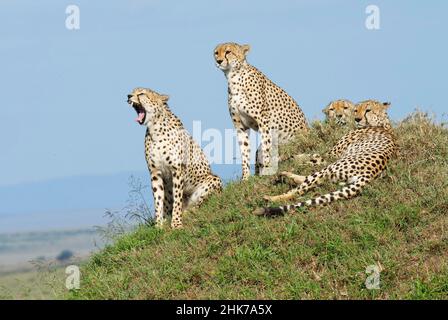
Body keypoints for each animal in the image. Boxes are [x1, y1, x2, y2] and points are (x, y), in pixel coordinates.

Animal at [127, 87, 221, 228]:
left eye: (142, 93)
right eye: (132, 91)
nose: (128, 96)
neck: (155, 128)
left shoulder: (177, 171)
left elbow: (177, 198)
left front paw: (176, 223)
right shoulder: (155, 173)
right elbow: (158, 200)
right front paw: (159, 225)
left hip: (213, 179)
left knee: (199, 205)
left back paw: (188, 213)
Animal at [214, 42, 308, 180]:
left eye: (228, 52)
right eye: (216, 52)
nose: (219, 61)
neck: (233, 77)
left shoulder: (264, 122)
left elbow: (266, 147)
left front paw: (267, 170)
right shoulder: (240, 126)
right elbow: (245, 152)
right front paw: (245, 178)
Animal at [254, 99, 398, 216]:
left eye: (368, 110)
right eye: (356, 110)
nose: (357, 119)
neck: (382, 124)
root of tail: (371, 174)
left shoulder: (331, 155)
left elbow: (307, 156)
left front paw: (283, 158)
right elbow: (307, 156)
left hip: (331, 168)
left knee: (299, 190)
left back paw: (271, 197)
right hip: (339, 178)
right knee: (313, 181)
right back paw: (286, 175)